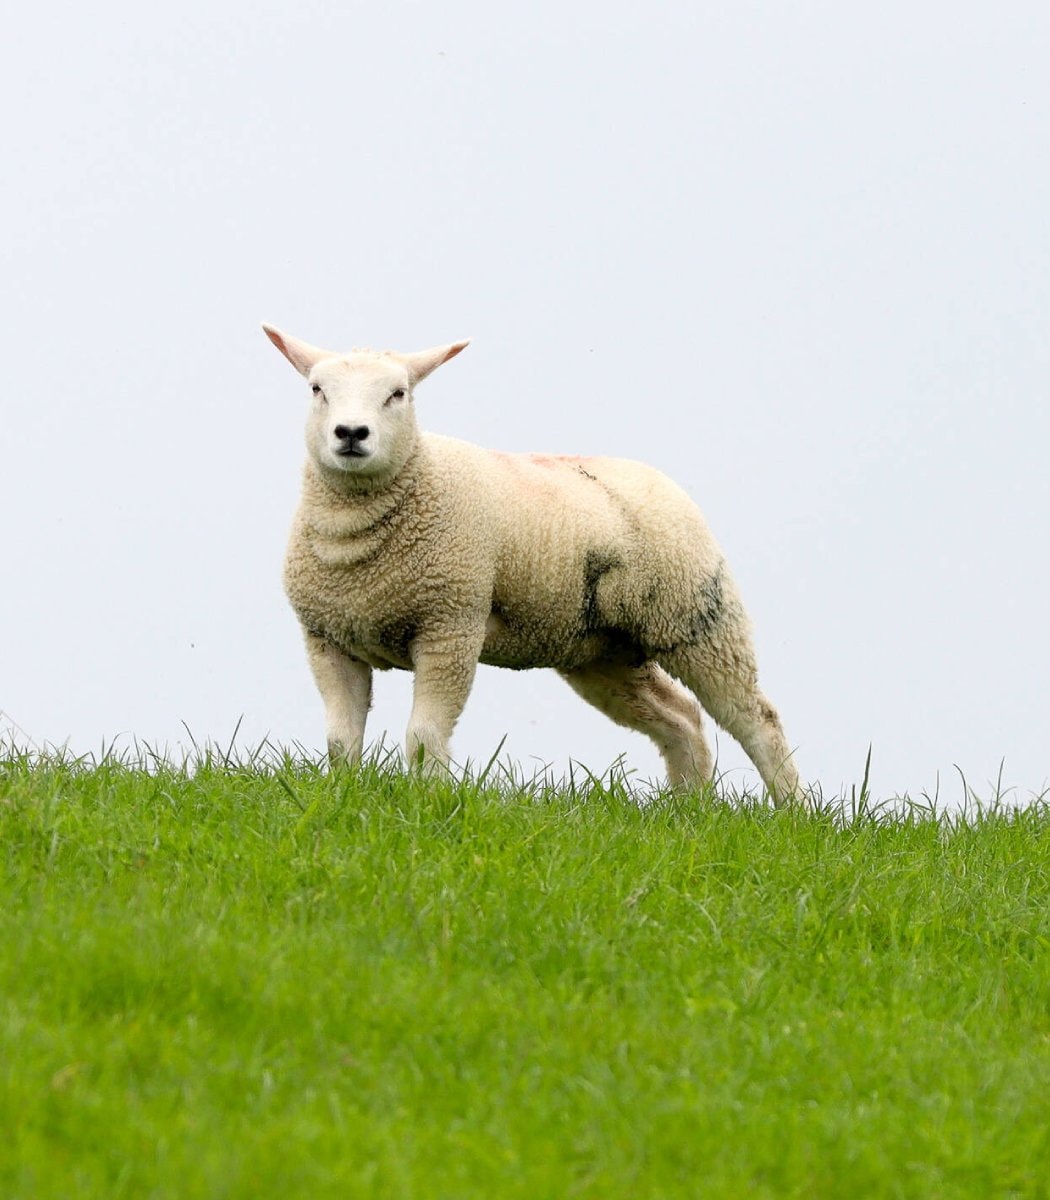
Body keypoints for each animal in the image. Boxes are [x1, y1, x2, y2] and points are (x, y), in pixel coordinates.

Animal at [263, 325, 802, 802]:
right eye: (317, 389)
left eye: (399, 393)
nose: (351, 434)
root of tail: (659, 480)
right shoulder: (328, 639)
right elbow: (341, 741)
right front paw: (342, 795)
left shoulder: (451, 626)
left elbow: (424, 736)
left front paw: (428, 799)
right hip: (603, 650)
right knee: (681, 719)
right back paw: (687, 810)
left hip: (698, 618)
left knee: (756, 718)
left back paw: (793, 813)